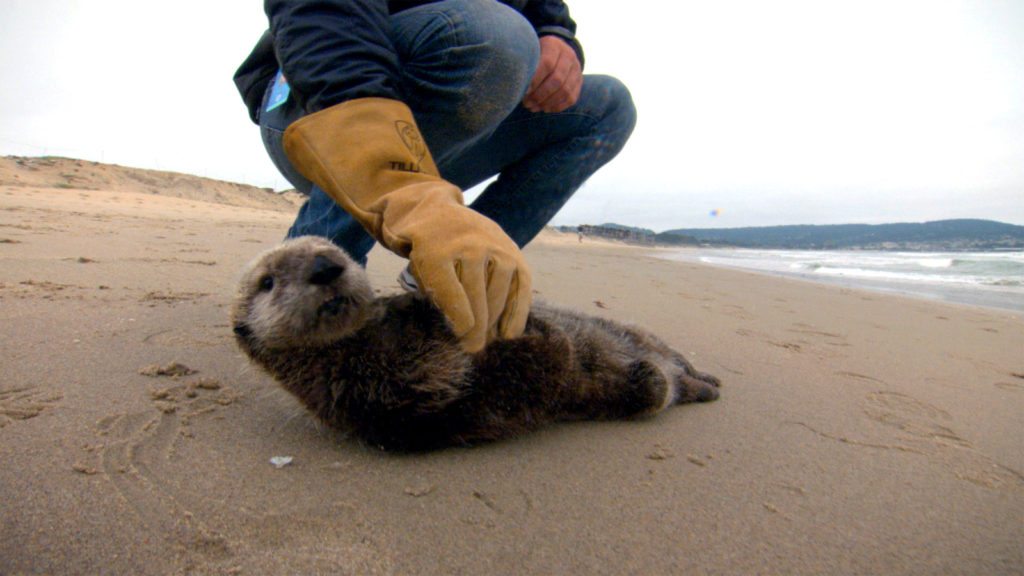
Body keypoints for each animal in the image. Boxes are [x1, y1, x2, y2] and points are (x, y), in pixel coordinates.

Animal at [232, 236, 720, 451]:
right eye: (267, 282)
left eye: (338, 252)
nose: (324, 266)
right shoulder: (400, 395)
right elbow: (531, 367)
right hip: (641, 384)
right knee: (656, 387)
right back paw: (691, 385)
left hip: (641, 332)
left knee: (669, 359)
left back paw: (705, 376)